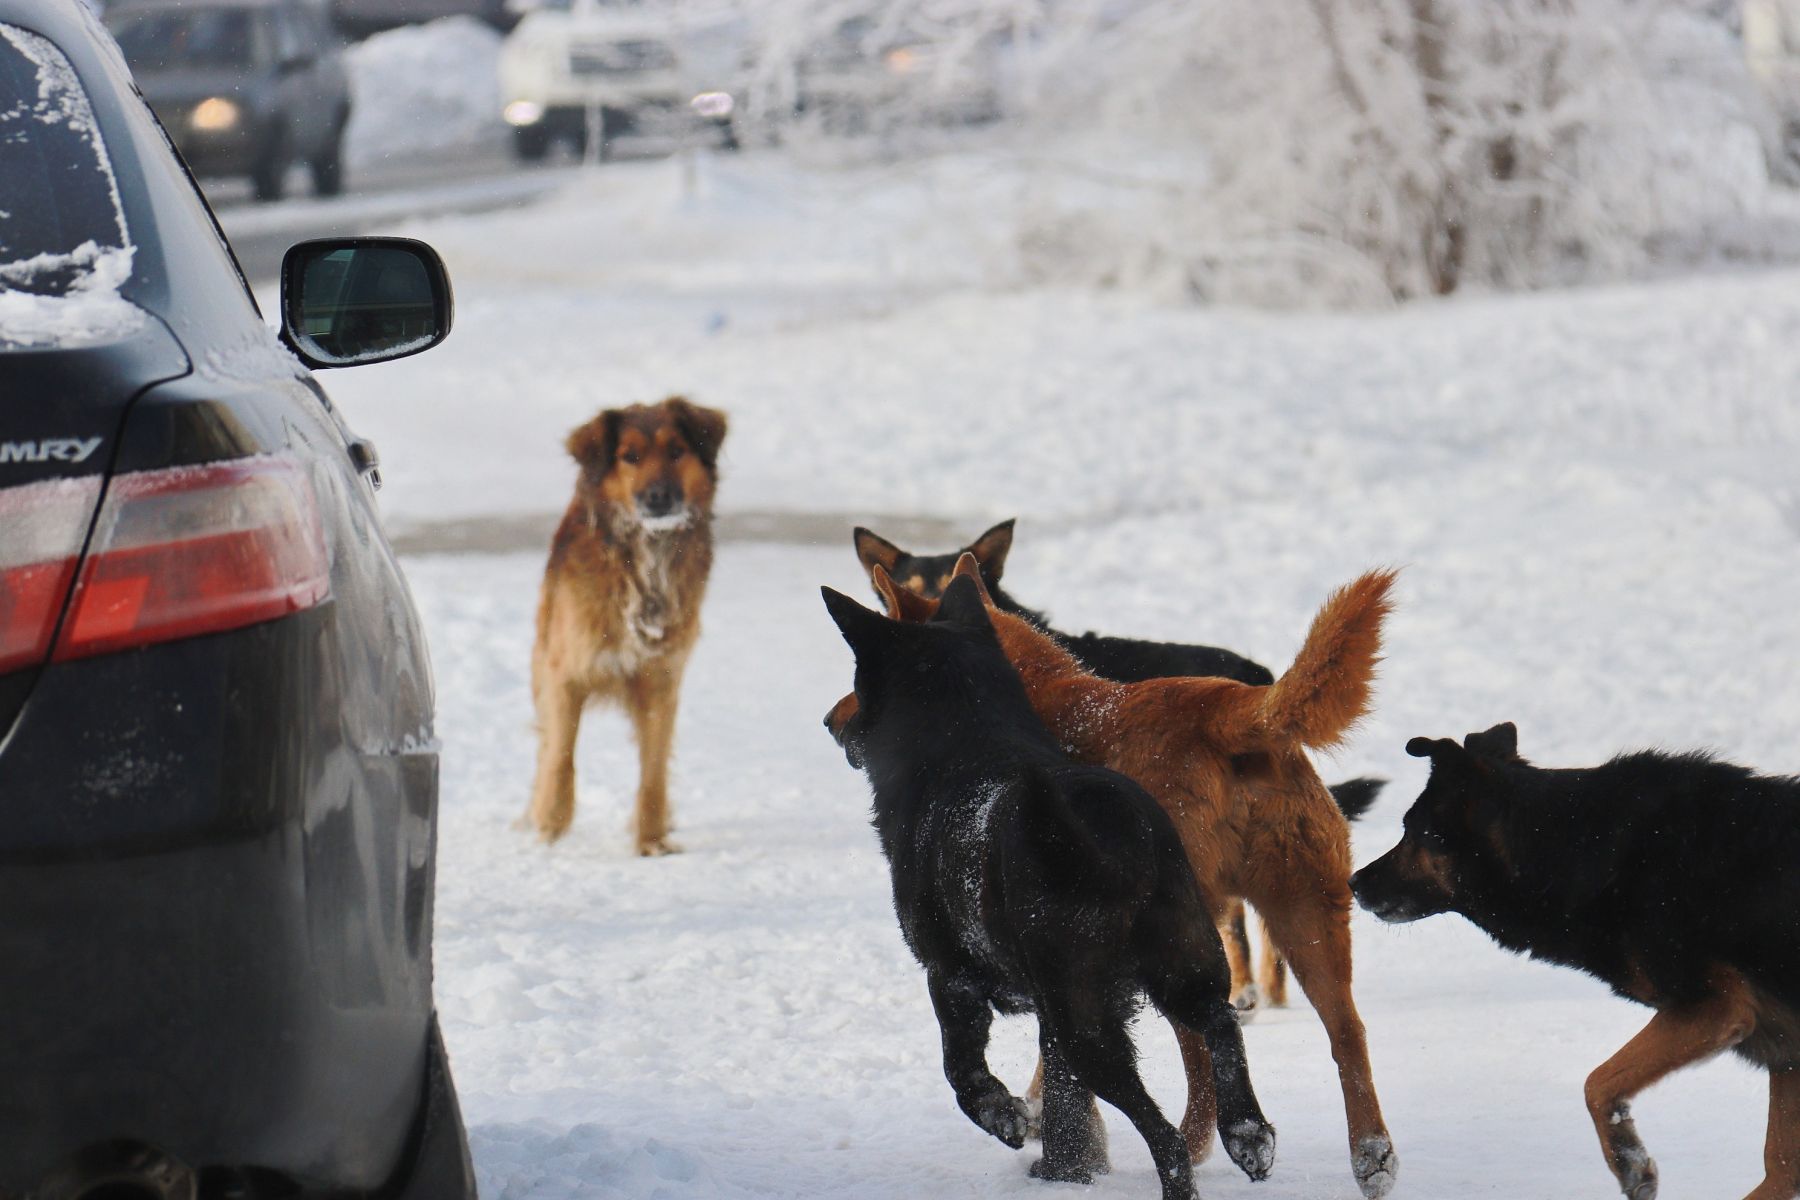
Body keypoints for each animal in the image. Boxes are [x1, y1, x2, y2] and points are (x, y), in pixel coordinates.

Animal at [525, 395, 730, 852]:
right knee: (546, 747)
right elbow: (560, 756)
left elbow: (653, 769)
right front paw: (549, 830)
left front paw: (651, 844)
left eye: (677, 451)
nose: (659, 496)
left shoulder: (660, 680)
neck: (647, 554)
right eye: (629, 457)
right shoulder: (565, 674)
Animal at [1353, 723, 1800, 1200]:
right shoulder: (1785, 1052)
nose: (1353, 882)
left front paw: (1629, 1159)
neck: (1578, 847)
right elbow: (1780, 1167)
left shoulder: (1717, 1007)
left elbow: (1597, 1083)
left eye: (1413, 831)